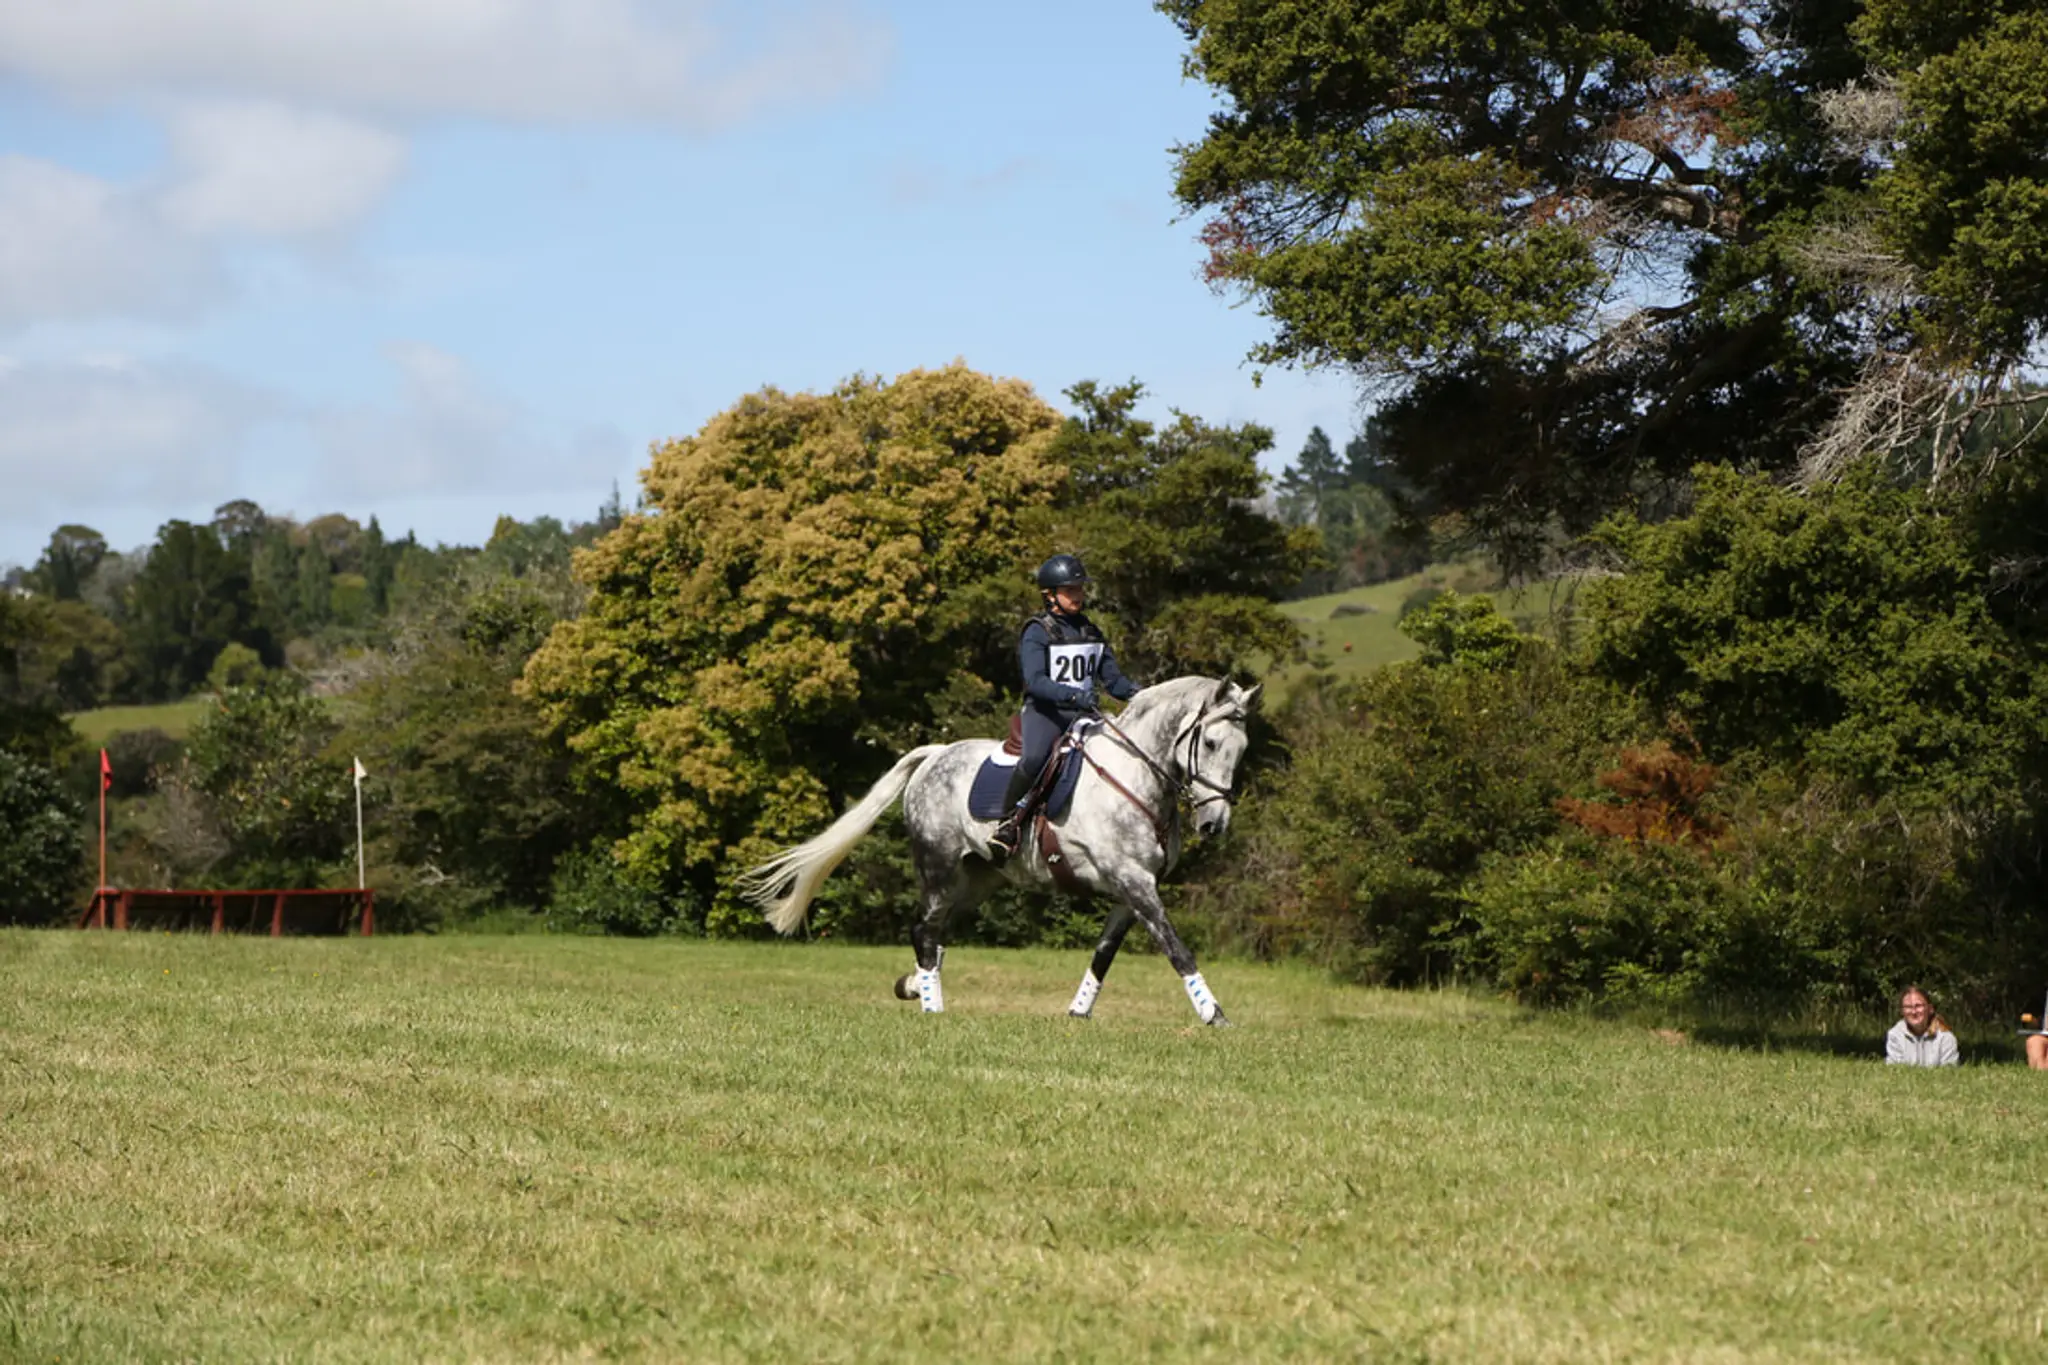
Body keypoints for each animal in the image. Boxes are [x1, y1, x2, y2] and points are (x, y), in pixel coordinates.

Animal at [737, 675, 1259, 1026]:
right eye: (1211, 743)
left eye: (1242, 749)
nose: (1214, 824)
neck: (1135, 778)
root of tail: (935, 754)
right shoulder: (1132, 881)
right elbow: (1177, 949)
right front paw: (1214, 1014)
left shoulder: (1131, 893)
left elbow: (1104, 954)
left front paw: (1078, 1012)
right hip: (940, 871)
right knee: (924, 930)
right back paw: (931, 1003)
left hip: (977, 881)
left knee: (934, 935)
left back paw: (915, 985)